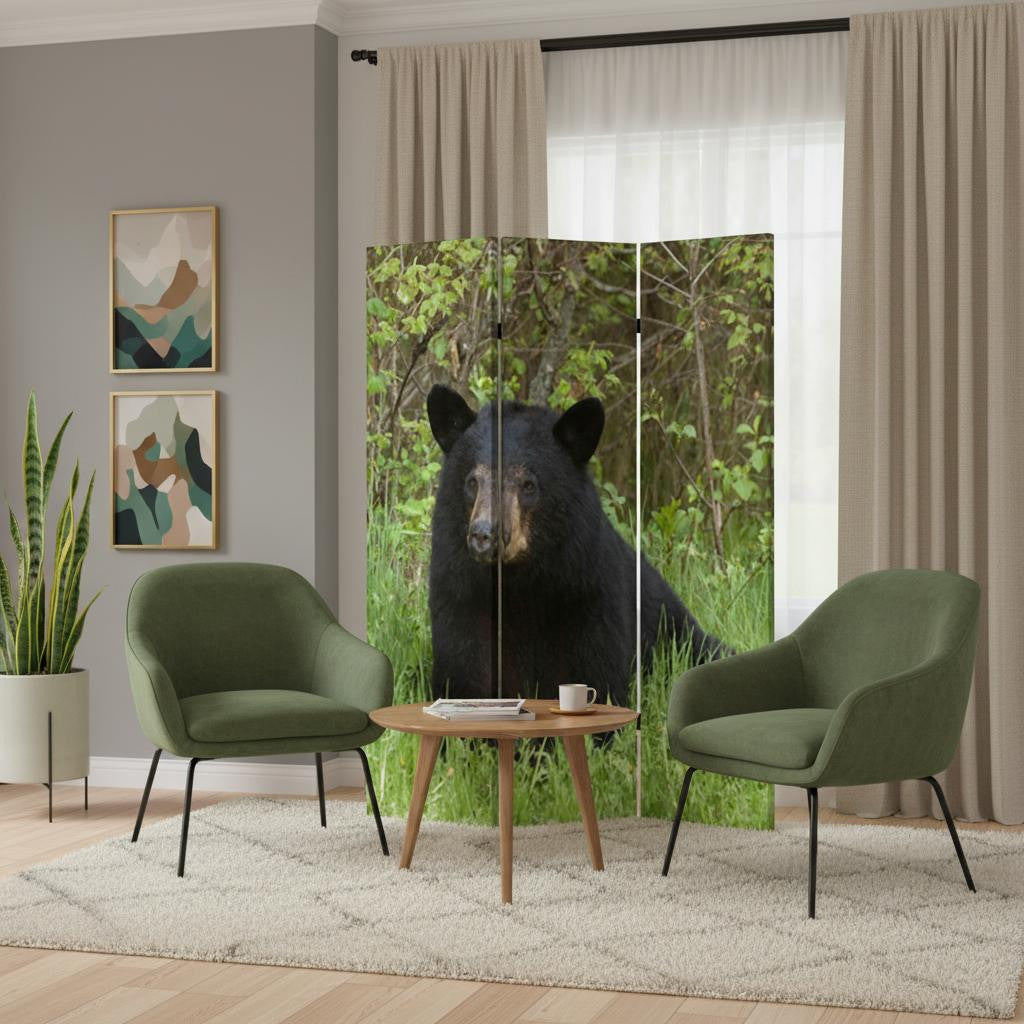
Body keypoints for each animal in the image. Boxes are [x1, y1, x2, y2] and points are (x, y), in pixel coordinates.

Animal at [425, 384, 729, 707]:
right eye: (473, 481)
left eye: (528, 484)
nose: (484, 535)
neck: (519, 582)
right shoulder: (461, 593)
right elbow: (463, 668)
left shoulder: (586, 593)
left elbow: (598, 671)